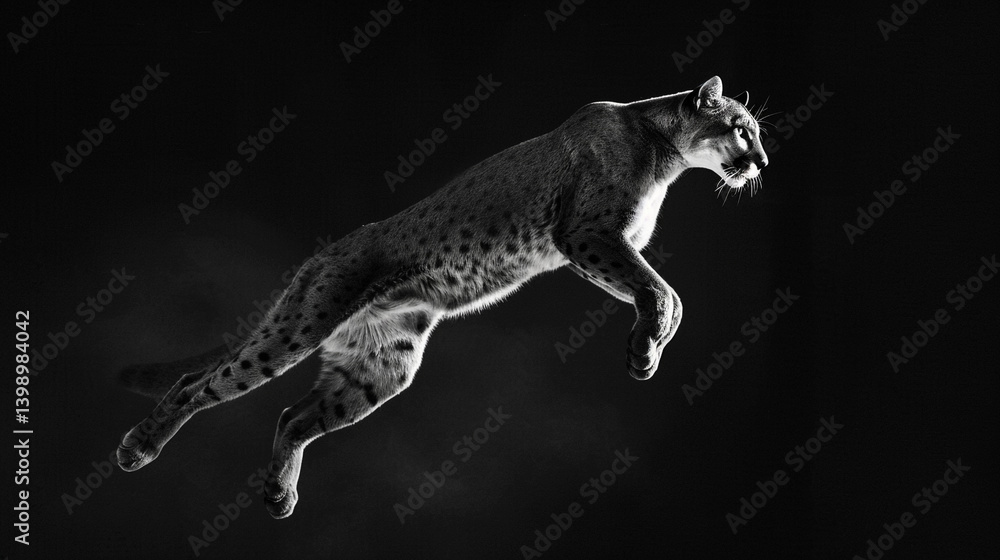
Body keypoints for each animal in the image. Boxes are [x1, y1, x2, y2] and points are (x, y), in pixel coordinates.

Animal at [115, 75, 768, 519]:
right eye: (742, 128)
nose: (761, 161)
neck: (665, 154)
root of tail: (318, 256)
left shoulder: (601, 245)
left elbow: (664, 293)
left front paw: (648, 350)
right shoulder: (589, 234)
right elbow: (664, 291)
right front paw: (644, 351)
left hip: (385, 366)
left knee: (293, 415)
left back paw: (279, 494)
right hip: (300, 326)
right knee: (199, 383)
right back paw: (138, 449)